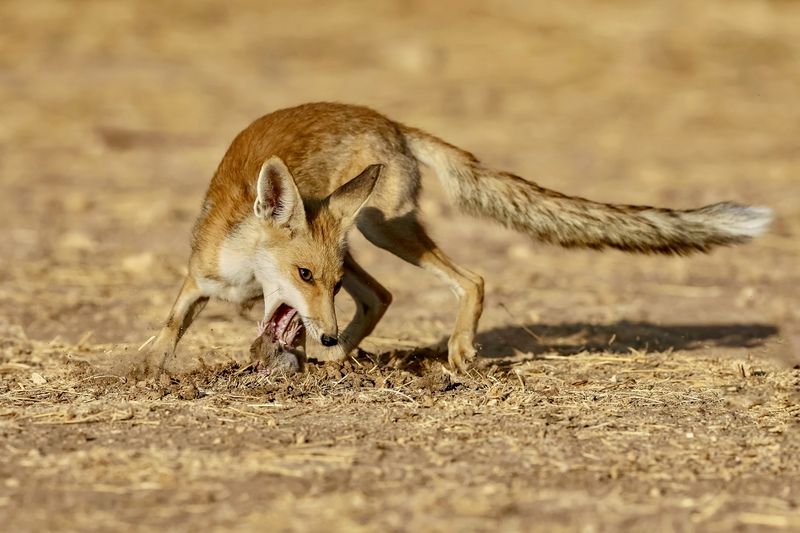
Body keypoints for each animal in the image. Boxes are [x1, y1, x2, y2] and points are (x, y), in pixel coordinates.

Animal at [144, 102, 773, 373]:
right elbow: (169, 327)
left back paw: (444, 350)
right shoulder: (199, 278)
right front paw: (145, 368)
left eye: (328, 281)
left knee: (468, 279)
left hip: (378, 227)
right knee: (384, 295)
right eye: (304, 274)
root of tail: (390, 121)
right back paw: (348, 355)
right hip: (371, 233)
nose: (325, 334)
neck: (245, 278)